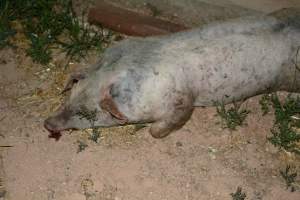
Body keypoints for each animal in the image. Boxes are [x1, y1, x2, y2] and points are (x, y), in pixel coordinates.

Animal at [44, 8, 300, 139]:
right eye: (70, 97)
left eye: (87, 113)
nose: (47, 123)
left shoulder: (183, 98)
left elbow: (173, 119)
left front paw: (153, 131)